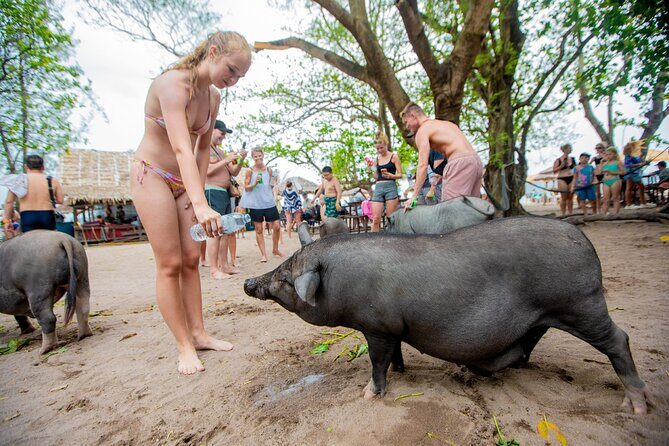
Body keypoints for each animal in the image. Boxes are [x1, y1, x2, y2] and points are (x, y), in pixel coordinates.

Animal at [244, 216, 651, 414]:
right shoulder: (393, 328)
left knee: (620, 340)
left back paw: (636, 407)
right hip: (550, 313)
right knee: (530, 342)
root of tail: (586, 241)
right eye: (282, 266)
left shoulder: (377, 326)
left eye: (283, 279)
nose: (249, 281)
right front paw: (402, 372)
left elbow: (377, 362)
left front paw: (369, 395)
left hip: (582, 304)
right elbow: (395, 355)